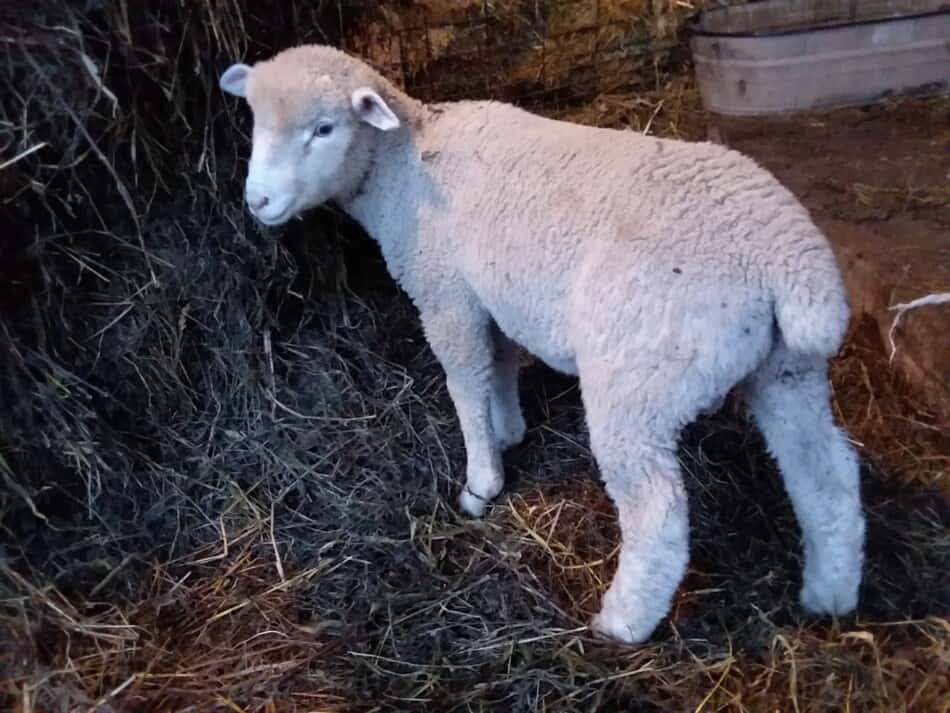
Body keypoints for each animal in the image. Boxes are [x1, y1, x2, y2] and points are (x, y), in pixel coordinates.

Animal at [219, 44, 868, 644]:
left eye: (323, 129)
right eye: (253, 121)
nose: (258, 202)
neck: (405, 166)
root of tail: (788, 261)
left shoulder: (447, 296)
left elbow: (465, 384)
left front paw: (482, 481)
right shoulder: (492, 294)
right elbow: (501, 364)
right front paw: (509, 428)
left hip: (638, 381)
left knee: (656, 514)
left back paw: (622, 623)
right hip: (786, 370)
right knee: (827, 478)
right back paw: (829, 595)